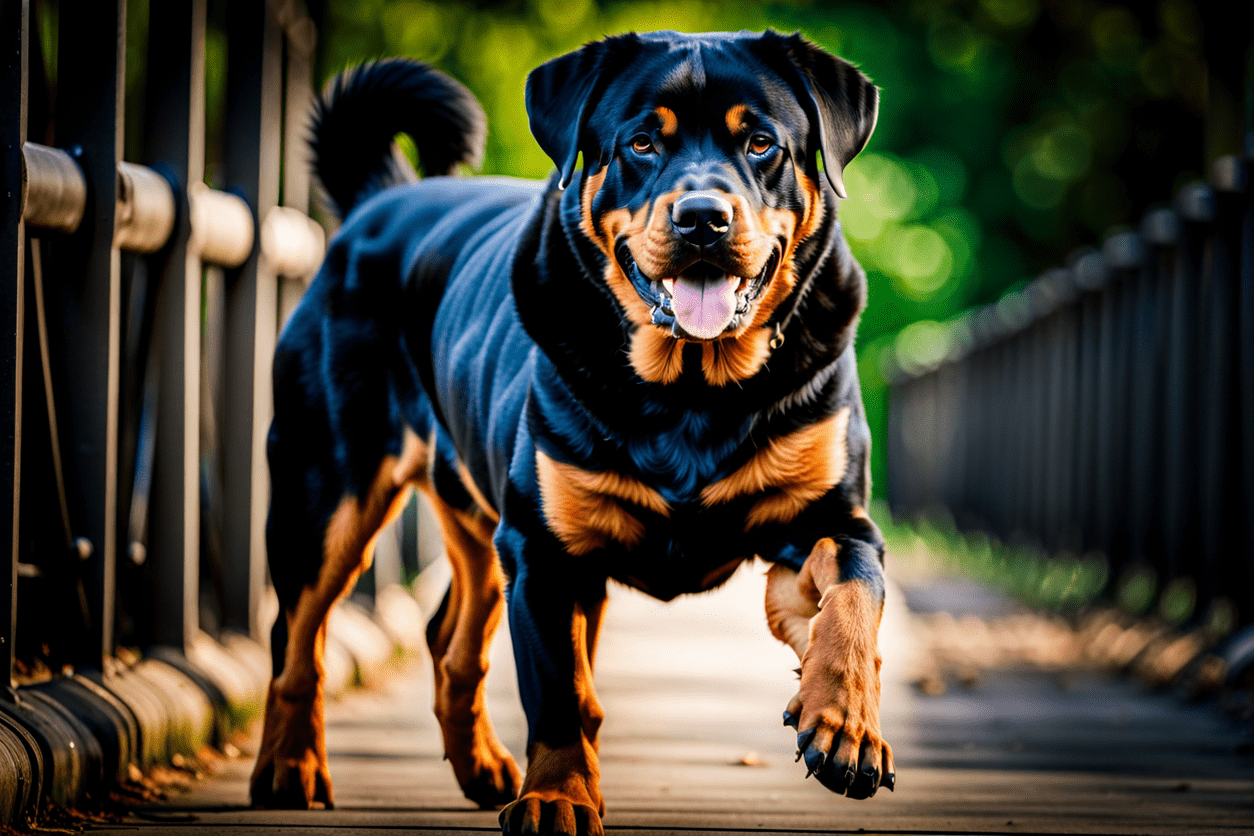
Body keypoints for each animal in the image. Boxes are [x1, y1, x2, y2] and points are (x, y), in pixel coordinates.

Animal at [247, 29, 892, 832]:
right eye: (642, 143)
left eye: (762, 143)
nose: (703, 216)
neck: (693, 393)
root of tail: (382, 198)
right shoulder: (546, 550)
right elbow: (560, 693)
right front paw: (556, 796)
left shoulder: (828, 520)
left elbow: (853, 599)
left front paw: (845, 728)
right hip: (328, 492)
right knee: (296, 637)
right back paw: (290, 767)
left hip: (476, 519)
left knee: (450, 639)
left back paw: (482, 767)